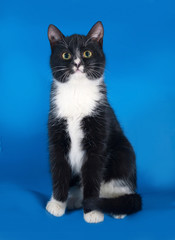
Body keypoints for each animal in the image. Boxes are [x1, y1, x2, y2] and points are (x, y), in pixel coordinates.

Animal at [45, 20, 142, 223]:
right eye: (66, 55)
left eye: (87, 53)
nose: (77, 64)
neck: (77, 92)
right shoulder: (56, 132)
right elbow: (59, 170)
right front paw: (57, 204)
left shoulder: (99, 134)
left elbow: (92, 174)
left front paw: (92, 211)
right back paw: (74, 199)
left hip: (123, 153)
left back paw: (116, 208)